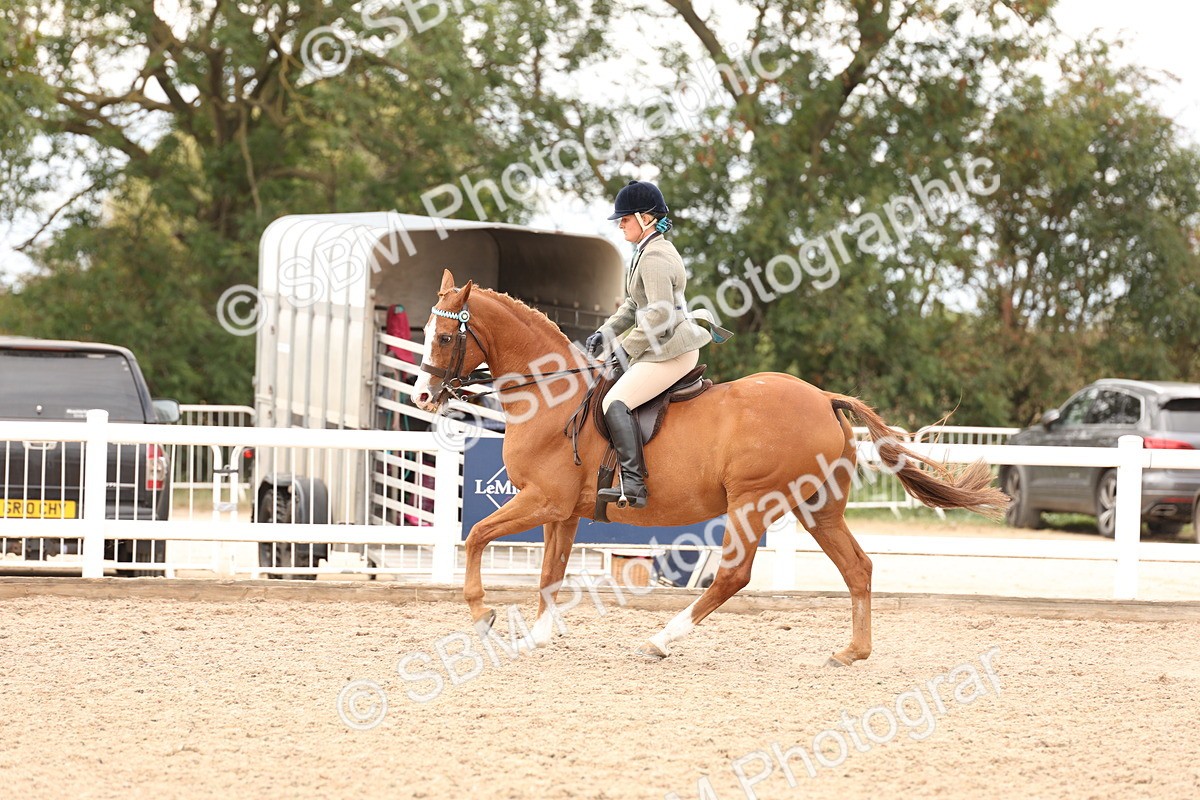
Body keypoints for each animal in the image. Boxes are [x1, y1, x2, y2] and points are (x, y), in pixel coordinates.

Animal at [412, 270, 1008, 665]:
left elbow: (477, 538)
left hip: (753, 502)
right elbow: (549, 574)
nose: (422, 396)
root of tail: (823, 398)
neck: (549, 396)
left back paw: (660, 640)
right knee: (857, 568)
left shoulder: (542, 500)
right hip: (817, 507)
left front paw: (482, 616)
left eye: (444, 337)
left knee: (732, 576)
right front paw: (533, 638)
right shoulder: (562, 511)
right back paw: (852, 652)